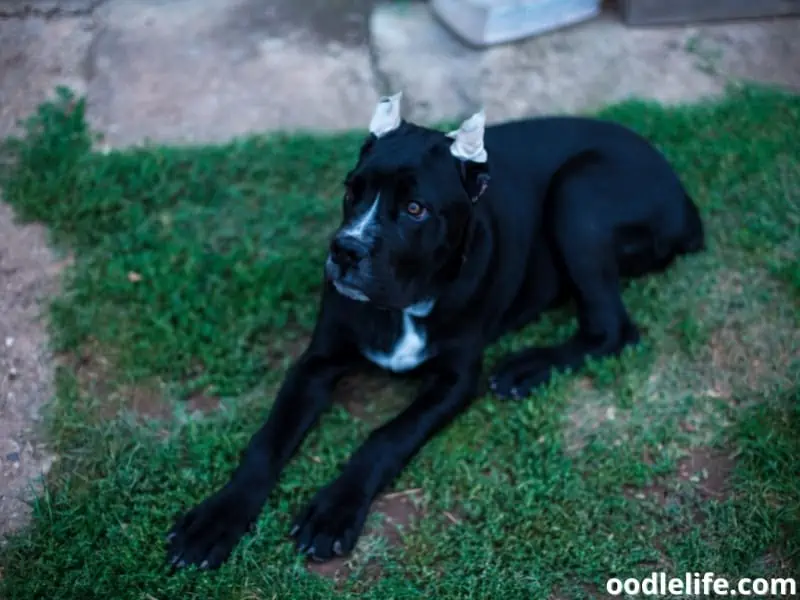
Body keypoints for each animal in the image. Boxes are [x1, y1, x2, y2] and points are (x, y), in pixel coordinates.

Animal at [166, 91, 704, 568]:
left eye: (415, 209)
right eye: (351, 190)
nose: (344, 250)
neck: (403, 304)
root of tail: (682, 196)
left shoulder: (456, 379)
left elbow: (386, 436)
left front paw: (334, 511)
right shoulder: (316, 362)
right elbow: (268, 440)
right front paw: (215, 520)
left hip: (579, 194)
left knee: (612, 329)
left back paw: (526, 369)